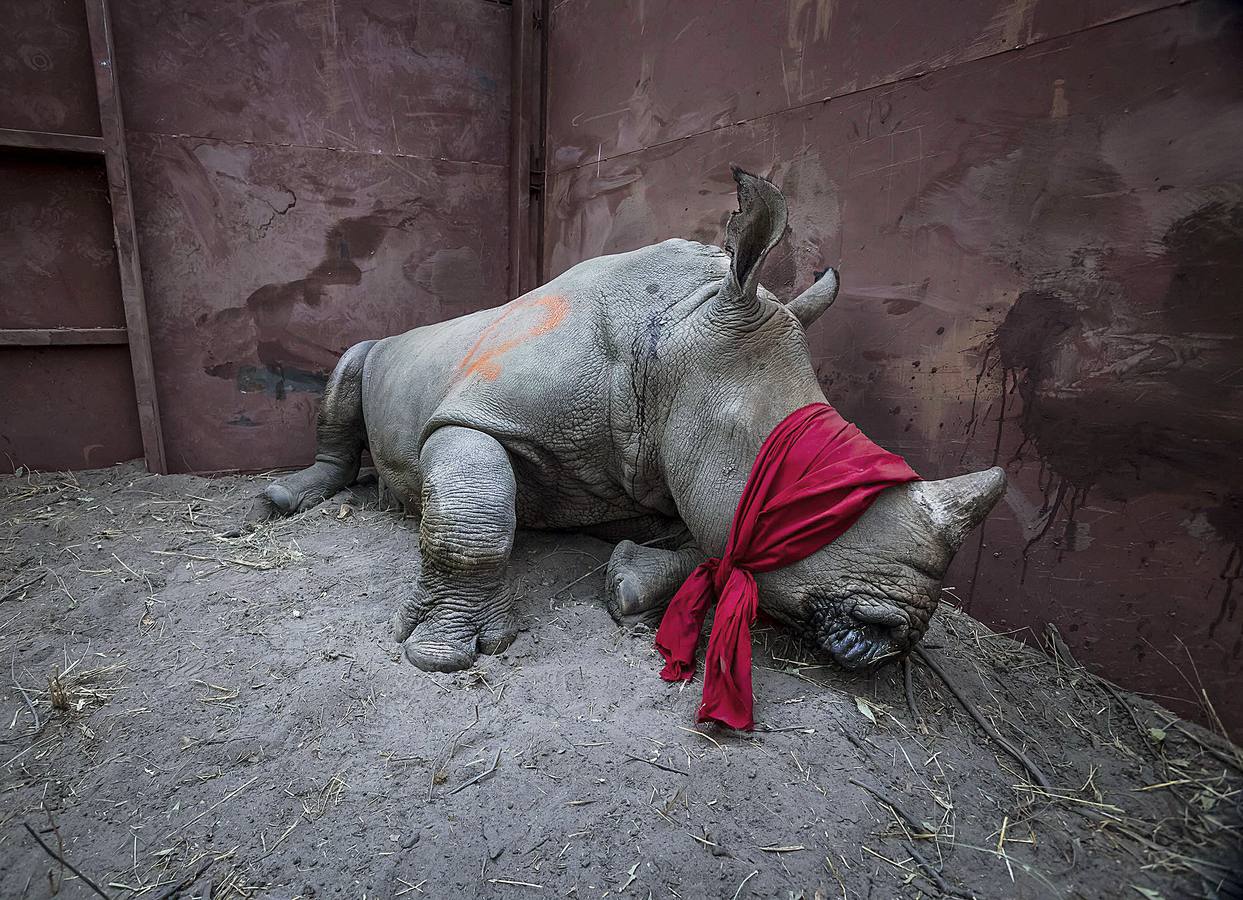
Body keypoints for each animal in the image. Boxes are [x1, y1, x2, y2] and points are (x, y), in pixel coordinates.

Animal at [247, 169, 1004, 676]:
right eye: (806, 489)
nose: (895, 630)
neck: (677, 335)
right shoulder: (477, 417)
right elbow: (475, 520)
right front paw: (441, 651)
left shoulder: (669, 461)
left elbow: (709, 542)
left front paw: (627, 584)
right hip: (384, 347)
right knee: (351, 362)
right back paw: (287, 499)